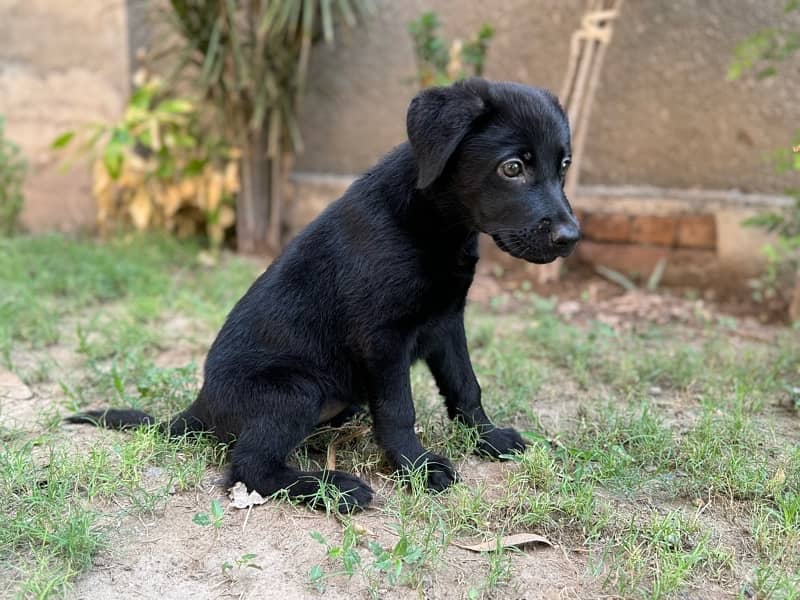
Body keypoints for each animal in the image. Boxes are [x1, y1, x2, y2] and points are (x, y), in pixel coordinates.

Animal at [69, 78, 580, 510]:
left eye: (564, 165)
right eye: (512, 168)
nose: (572, 238)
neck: (432, 225)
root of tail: (202, 405)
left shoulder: (447, 321)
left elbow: (465, 387)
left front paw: (486, 439)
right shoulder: (383, 339)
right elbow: (399, 410)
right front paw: (417, 468)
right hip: (294, 390)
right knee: (250, 468)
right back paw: (333, 488)